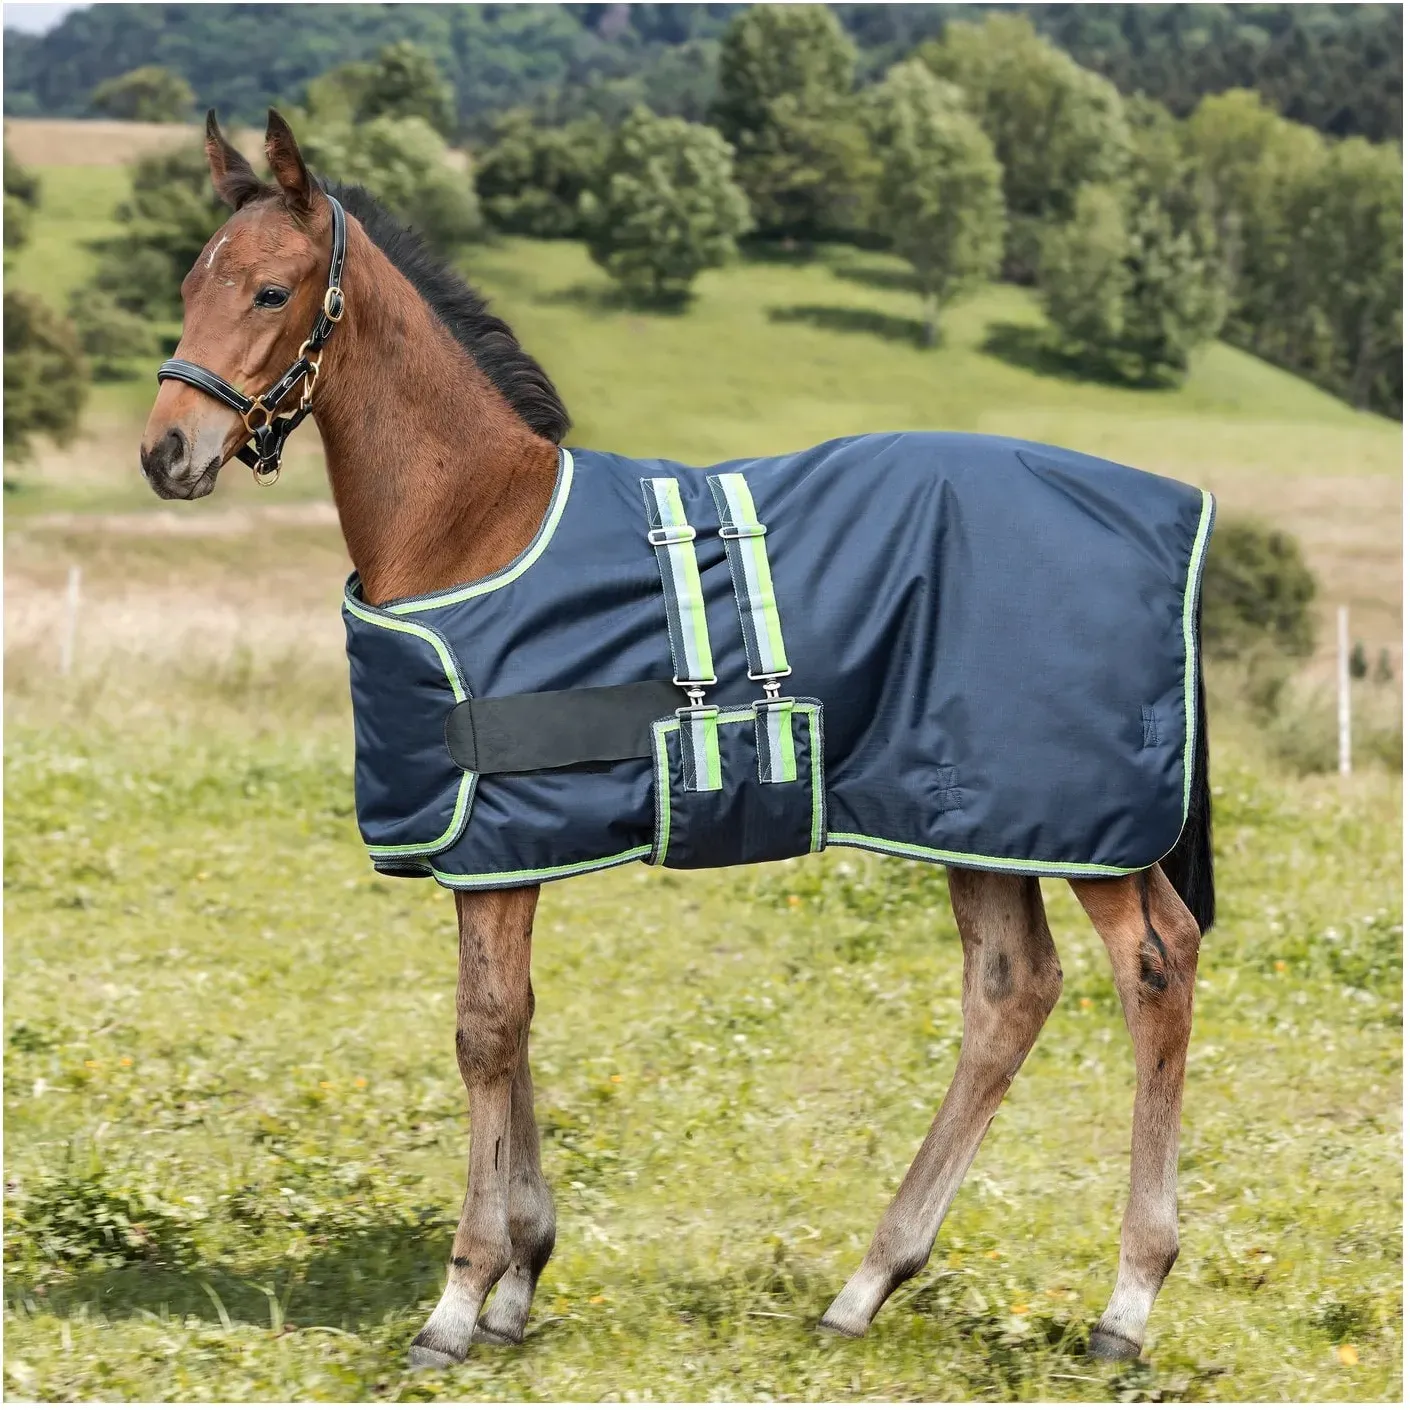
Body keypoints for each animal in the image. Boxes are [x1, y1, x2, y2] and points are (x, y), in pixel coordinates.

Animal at [140, 111, 1215, 1369]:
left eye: (270, 290)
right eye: (190, 282)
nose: (168, 452)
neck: (470, 520)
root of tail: (1173, 512)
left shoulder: (497, 840)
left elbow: (484, 1032)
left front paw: (460, 1299)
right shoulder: (499, 850)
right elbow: (514, 1025)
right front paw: (520, 1280)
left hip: (1084, 823)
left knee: (1155, 965)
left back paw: (1127, 1301)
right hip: (974, 816)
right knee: (1010, 993)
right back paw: (867, 1284)